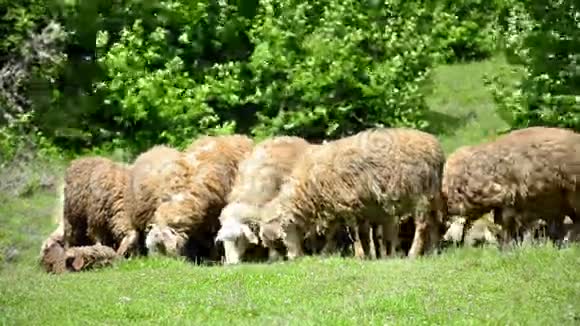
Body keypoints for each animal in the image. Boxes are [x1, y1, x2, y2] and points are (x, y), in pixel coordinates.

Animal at [258, 126, 444, 260]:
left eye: (283, 233)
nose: (293, 258)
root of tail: (436, 147)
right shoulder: (349, 207)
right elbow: (355, 234)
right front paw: (367, 254)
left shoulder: (347, 203)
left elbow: (354, 234)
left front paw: (360, 255)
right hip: (432, 195)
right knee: (434, 224)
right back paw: (433, 251)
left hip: (421, 195)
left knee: (422, 226)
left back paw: (414, 253)